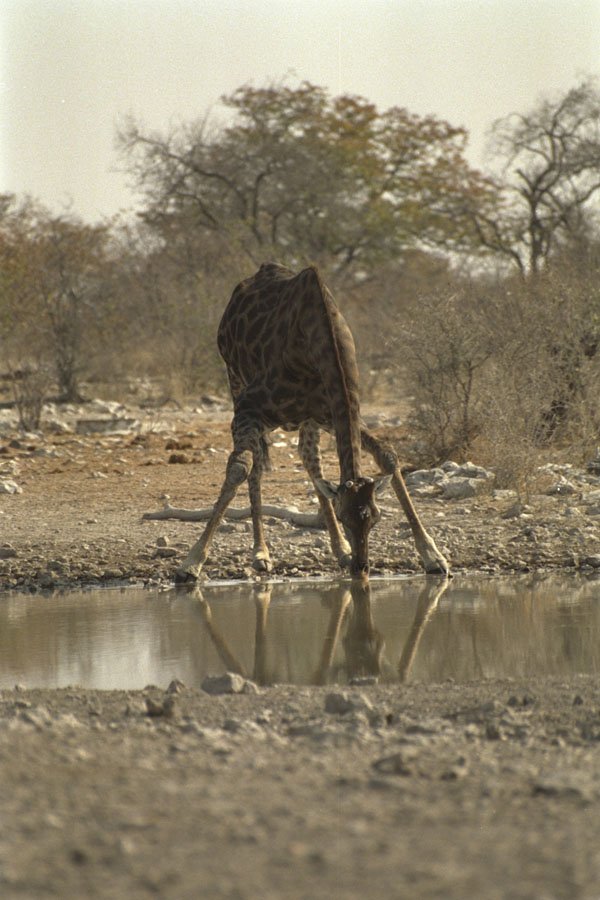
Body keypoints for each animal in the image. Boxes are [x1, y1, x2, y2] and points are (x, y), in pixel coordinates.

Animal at [176, 262, 449, 582]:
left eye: (376, 519)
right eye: (344, 517)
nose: (362, 568)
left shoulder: (334, 412)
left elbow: (387, 455)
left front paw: (433, 556)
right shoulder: (249, 408)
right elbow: (239, 468)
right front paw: (191, 562)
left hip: (308, 419)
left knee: (309, 459)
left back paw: (340, 550)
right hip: (235, 380)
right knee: (258, 465)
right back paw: (261, 553)